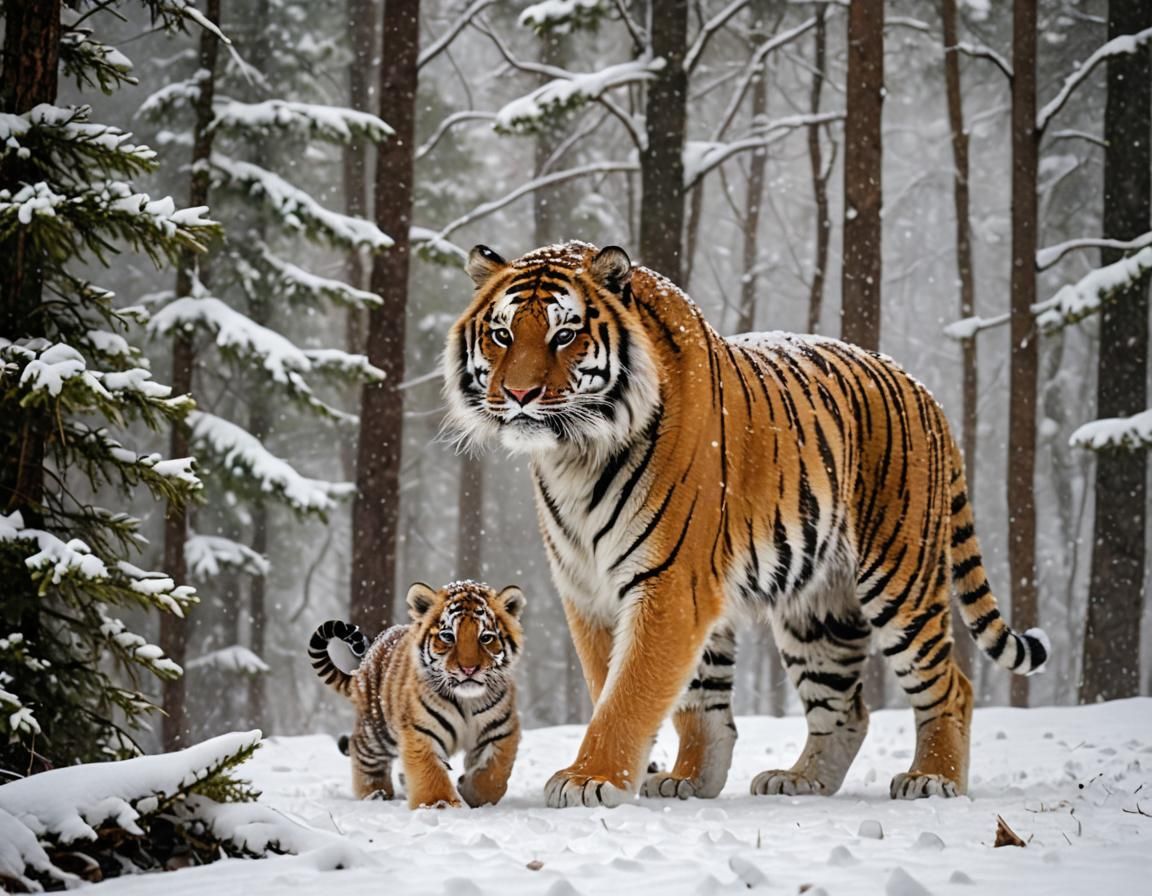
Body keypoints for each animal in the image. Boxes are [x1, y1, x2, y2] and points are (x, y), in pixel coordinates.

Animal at [308, 580, 525, 808]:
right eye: (448, 636)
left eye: (486, 638)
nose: (469, 669)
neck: (466, 700)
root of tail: (365, 660)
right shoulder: (421, 731)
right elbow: (430, 773)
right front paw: (439, 805)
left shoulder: (500, 731)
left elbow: (493, 775)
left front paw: (469, 792)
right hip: (378, 728)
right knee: (361, 752)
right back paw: (375, 794)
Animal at [442, 240, 1050, 809]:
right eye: (501, 334)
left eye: (564, 335)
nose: (519, 394)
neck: (576, 456)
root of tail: (923, 390)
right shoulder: (590, 591)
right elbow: (673, 696)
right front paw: (684, 778)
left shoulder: (669, 584)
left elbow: (629, 693)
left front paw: (590, 778)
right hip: (818, 611)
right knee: (845, 707)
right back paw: (800, 780)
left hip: (899, 576)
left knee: (951, 686)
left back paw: (932, 778)